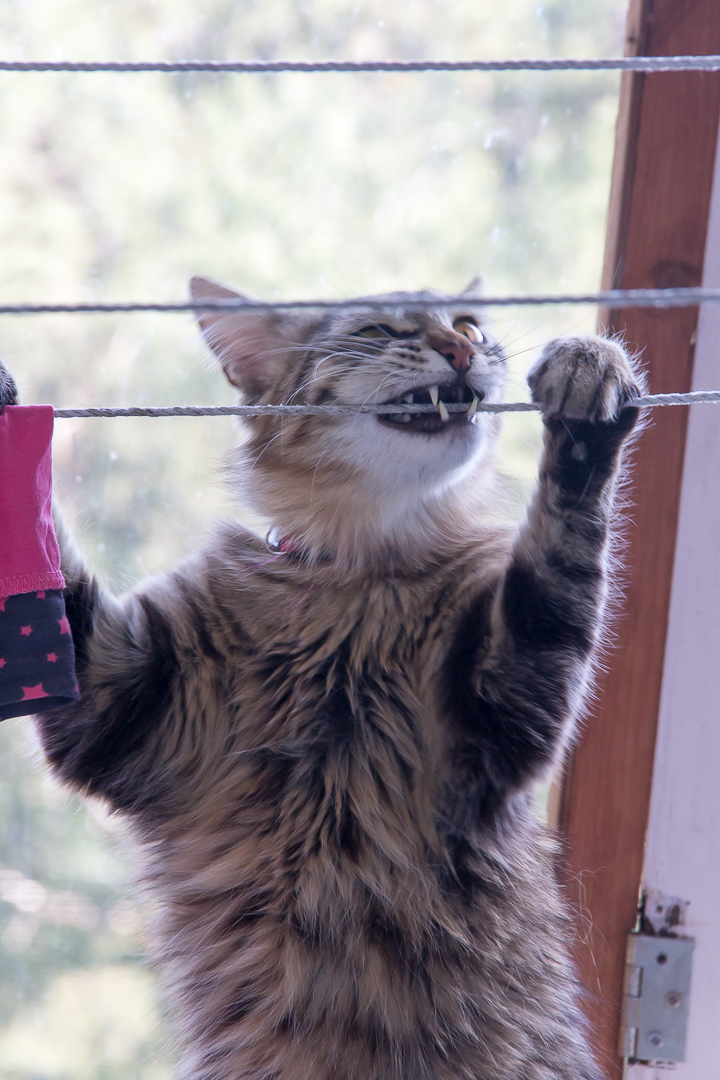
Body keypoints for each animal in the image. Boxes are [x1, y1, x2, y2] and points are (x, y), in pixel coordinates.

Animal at [0, 282, 643, 1080]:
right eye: (380, 330)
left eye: (468, 326)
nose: (461, 351)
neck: (356, 573)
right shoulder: (111, 690)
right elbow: (53, 581)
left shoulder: (510, 697)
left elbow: (561, 551)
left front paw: (590, 380)